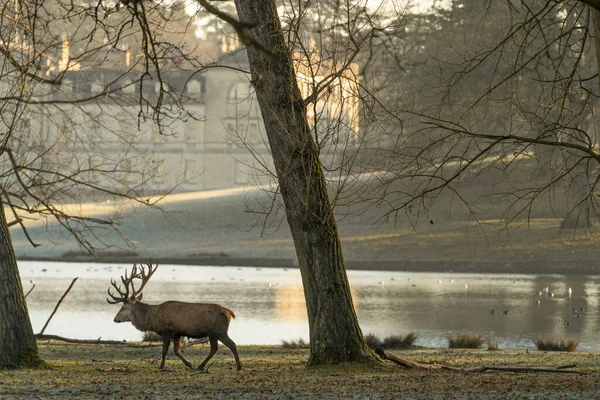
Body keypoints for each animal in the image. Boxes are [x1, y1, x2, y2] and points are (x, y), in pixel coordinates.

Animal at [108, 262, 241, 372]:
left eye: (123, 308)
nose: (115, 319)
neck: (153, 319)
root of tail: (229, 312)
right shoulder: (178, 333)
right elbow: (176, 351)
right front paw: (190, 365)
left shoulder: (167, 330)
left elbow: (164, 351)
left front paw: (161, 367)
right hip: (212, 333)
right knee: (214, 348)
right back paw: (200, 366)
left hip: (220, 330)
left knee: (232, 344)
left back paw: (238, 366)